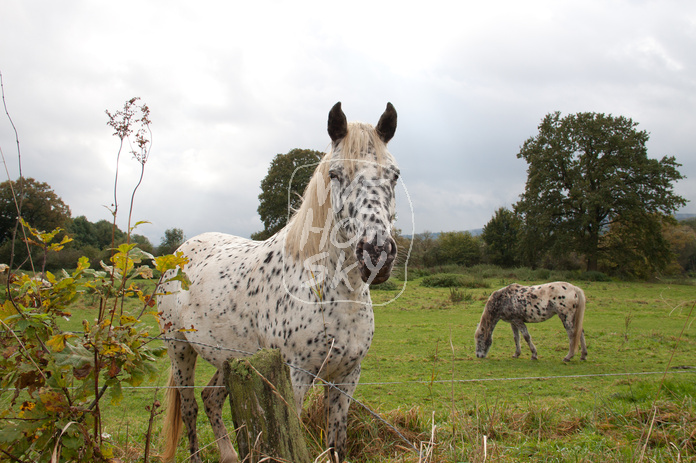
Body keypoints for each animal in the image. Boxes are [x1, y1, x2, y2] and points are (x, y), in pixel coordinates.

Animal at [157, 102, 396, 463]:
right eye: (335, 174)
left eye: (394, 175)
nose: (377, 254)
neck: (338, 295)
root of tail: (179, 252)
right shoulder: (295, 377)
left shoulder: (346, 379)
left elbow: (336, 446)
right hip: (179, 350)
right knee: (189, 411)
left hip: (230, 360)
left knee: (211, 398)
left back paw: (229, 455)